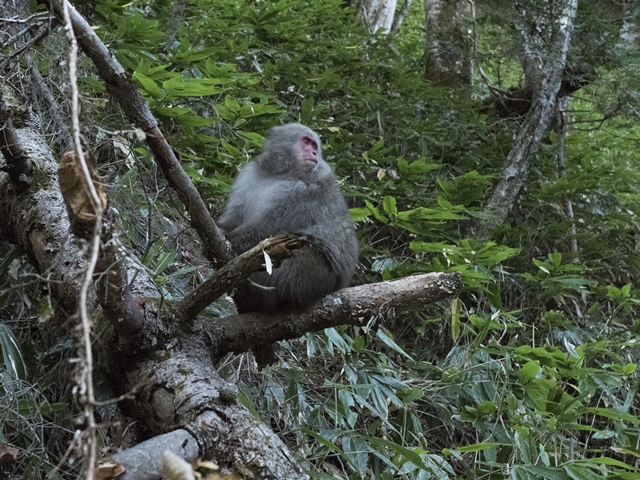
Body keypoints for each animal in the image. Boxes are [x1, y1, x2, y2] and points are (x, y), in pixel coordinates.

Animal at [219, 122, 360, 314]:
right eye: (306, 142)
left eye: (314, 145)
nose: (314, 153)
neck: (280, 173)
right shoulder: (249, 174)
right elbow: (235, 217)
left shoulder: (302, 194)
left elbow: (264, 231)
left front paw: (226, 239)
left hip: (313, 279)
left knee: (294, 250)